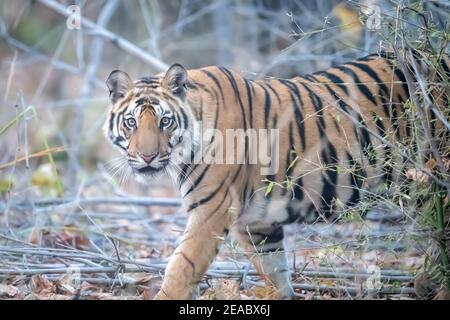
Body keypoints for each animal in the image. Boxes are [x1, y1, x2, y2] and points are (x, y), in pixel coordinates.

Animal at [103, 51, 448, 298]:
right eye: (132, 122)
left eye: (165, 122)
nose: (147, 156)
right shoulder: (257, 225)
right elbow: (276, 273)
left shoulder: (211, 212)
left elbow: (180, 268)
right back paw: (426, 283)